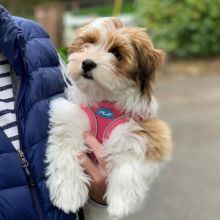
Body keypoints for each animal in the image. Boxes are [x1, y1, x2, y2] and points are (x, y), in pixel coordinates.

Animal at [45, 17, 173, 218]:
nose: (87, 63)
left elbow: (129, 165)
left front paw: (121, 203)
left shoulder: (145, 132)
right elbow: (65, 153)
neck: (105, 100)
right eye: (88, 43)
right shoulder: (70, 120)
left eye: (117, 54)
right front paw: (68, 195)